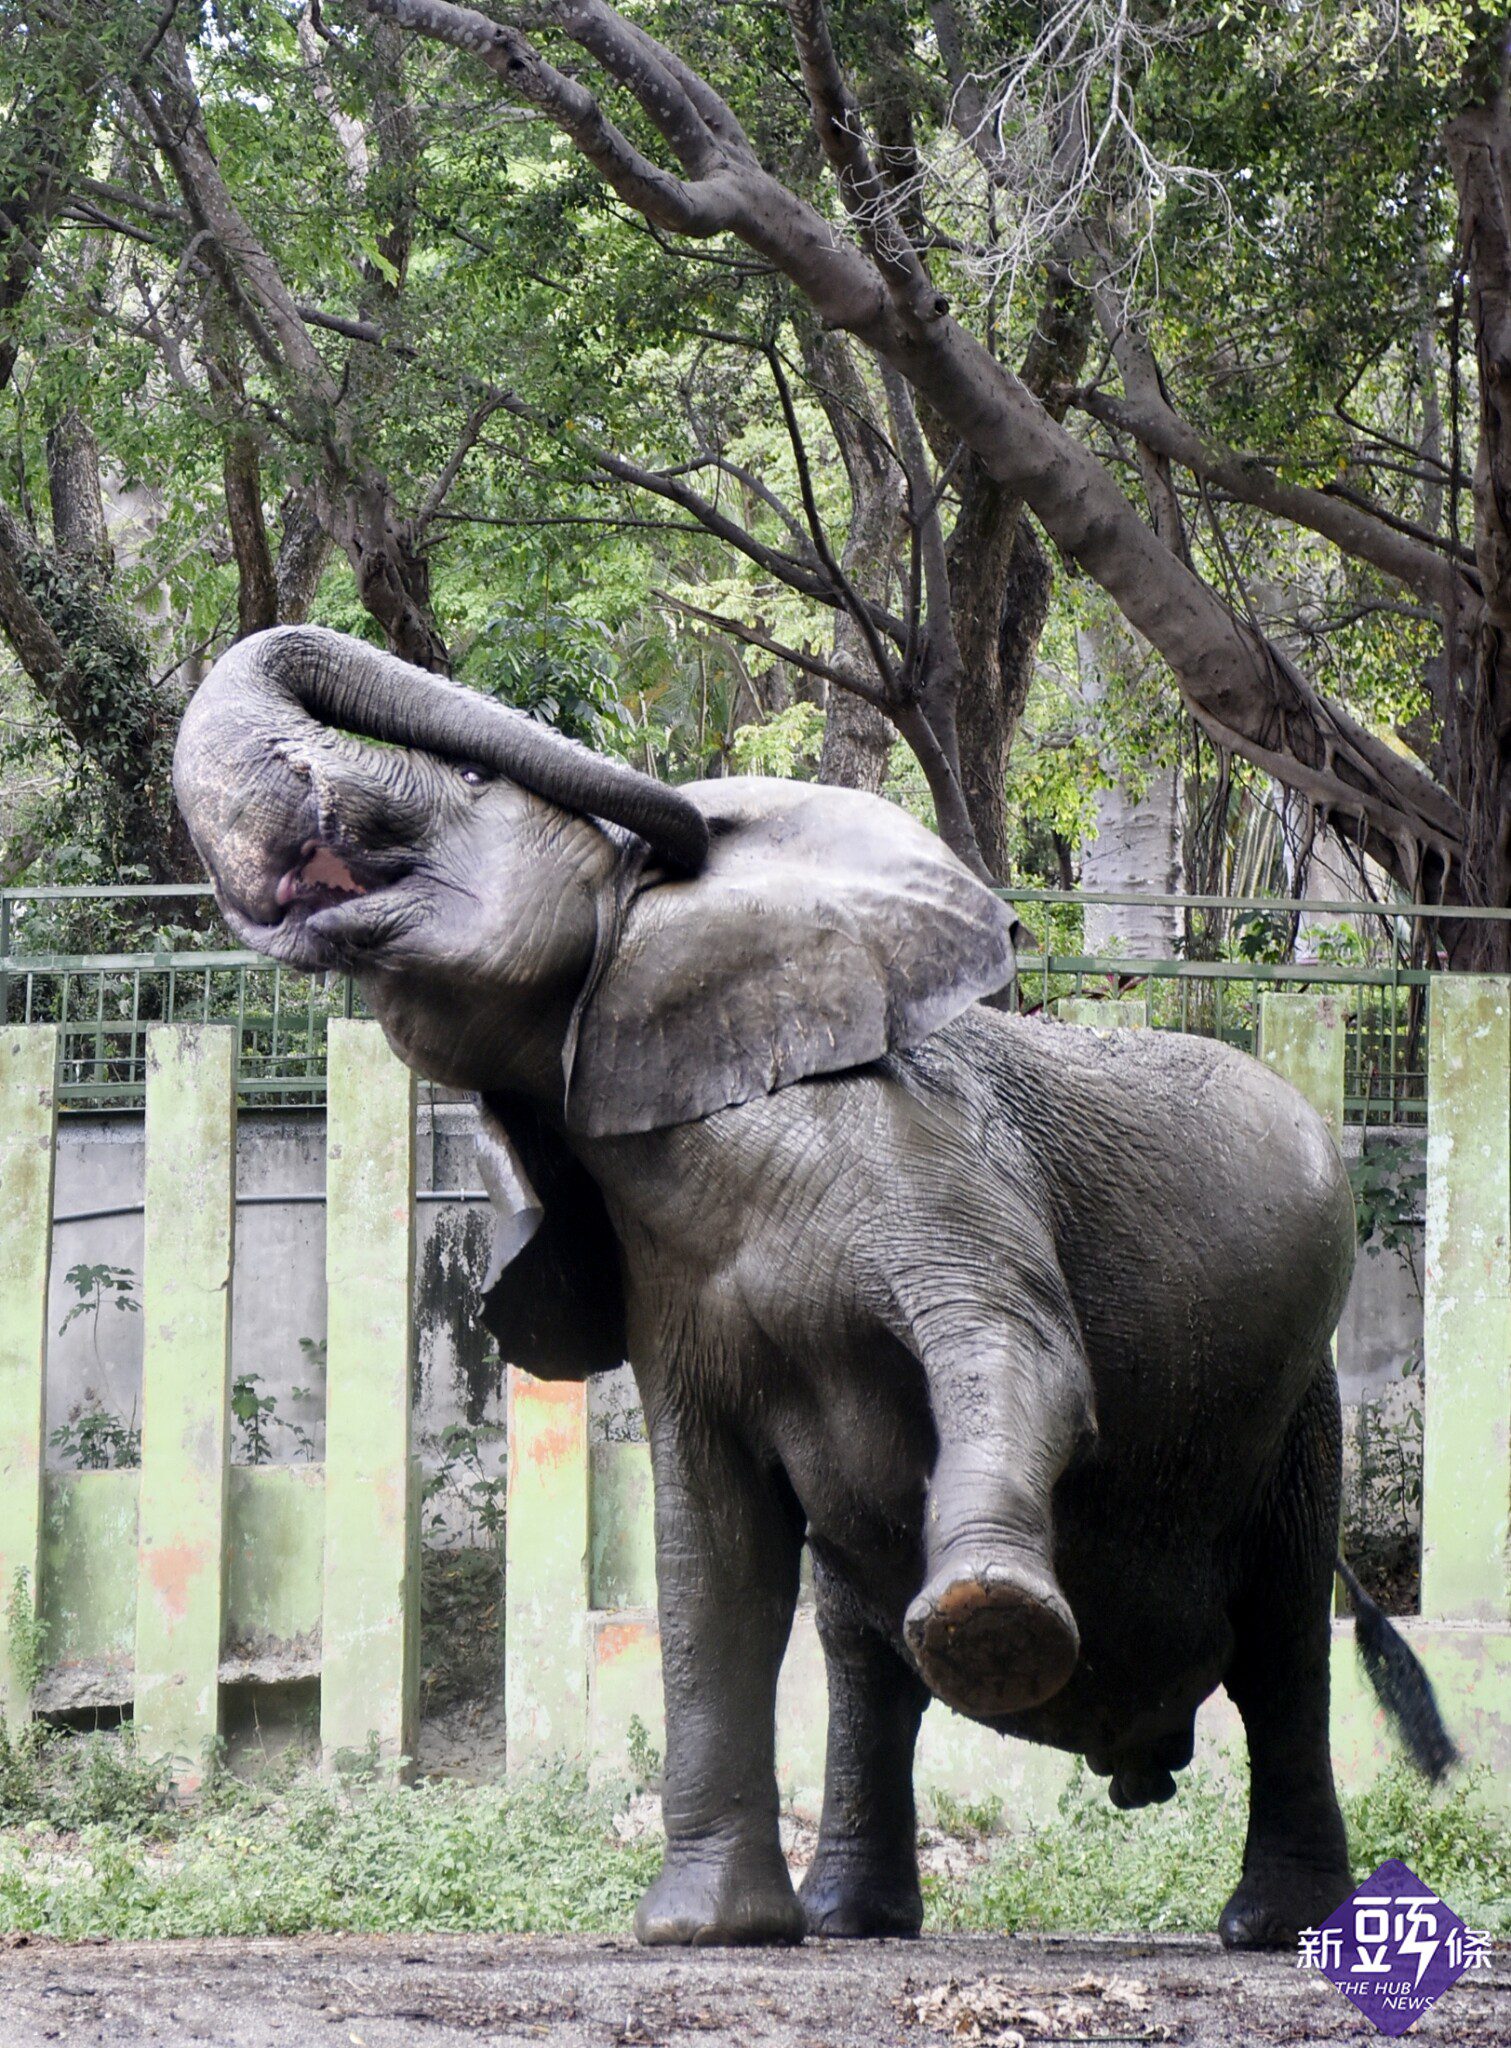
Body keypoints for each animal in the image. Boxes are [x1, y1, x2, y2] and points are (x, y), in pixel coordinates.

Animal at [174, 622, 1449, 1949]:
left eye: (473, 785)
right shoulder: (667, 1287)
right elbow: (710, 1547)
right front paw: (699, 1934)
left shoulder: (913, 1136)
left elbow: (1016, 1344)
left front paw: (985, 1619)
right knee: (860, 1657)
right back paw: (850, 1921)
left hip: (1299, 1414)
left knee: (1280, 1648)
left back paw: (1273, 1927)